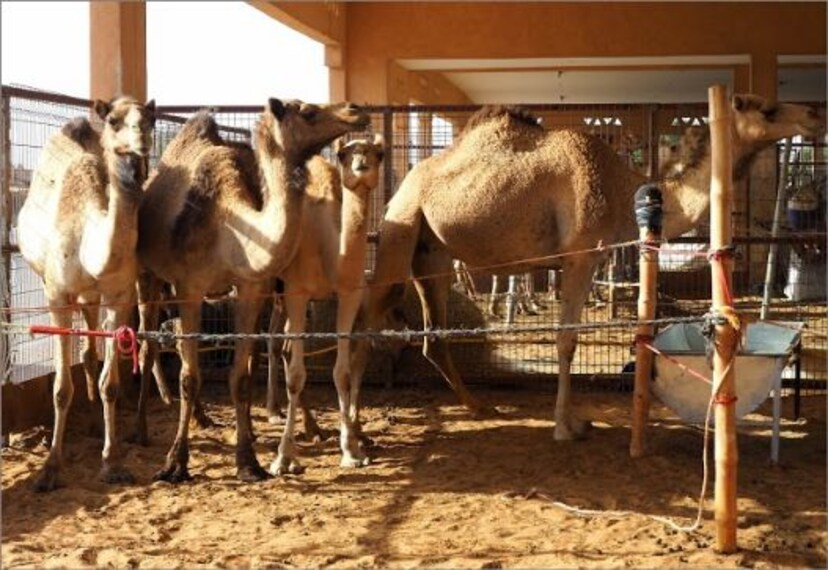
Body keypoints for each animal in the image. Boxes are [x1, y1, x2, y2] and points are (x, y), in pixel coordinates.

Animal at [16, 96, 156, 491]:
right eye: (114, 120)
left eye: (151, 119)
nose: (141, 140)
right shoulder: (56, 294)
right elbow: (61, 387)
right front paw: (50, 468)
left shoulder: (119, 296)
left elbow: (111, 383)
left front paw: (112, 462)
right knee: (85, 352)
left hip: (95, 297)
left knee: (92, 351)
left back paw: (98, 427)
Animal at [136, 98, 369, 482]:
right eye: (307, 111)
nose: (355, 110)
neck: (229, 227)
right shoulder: (190, 287)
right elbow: (189, 376)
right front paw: (175, 463)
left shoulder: (250, 287)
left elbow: (241, 376)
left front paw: (248, 461)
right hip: (149, 275)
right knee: (150, 340)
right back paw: (145, 421)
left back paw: (208, 418)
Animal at [264, 135, 384, 474]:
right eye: (343, 154)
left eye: (379, 153)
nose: (361, 164)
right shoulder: (297, 291)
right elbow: (296, 375)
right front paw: (282, 458)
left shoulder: (349, 294)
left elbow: (341, 372)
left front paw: (352, 451)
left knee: (278, 343)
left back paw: (306, 424)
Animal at [351, 94, 824, 442]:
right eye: (767, 109)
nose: (814, 114)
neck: (620, 188)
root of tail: (405, 182)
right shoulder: (579, 257)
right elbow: (567, 340)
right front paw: (568, 426)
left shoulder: (591, 259)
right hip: (400, 226)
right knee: (366, 320)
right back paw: (356, 438)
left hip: (432, 252)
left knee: (431, 335)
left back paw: (480, 406)